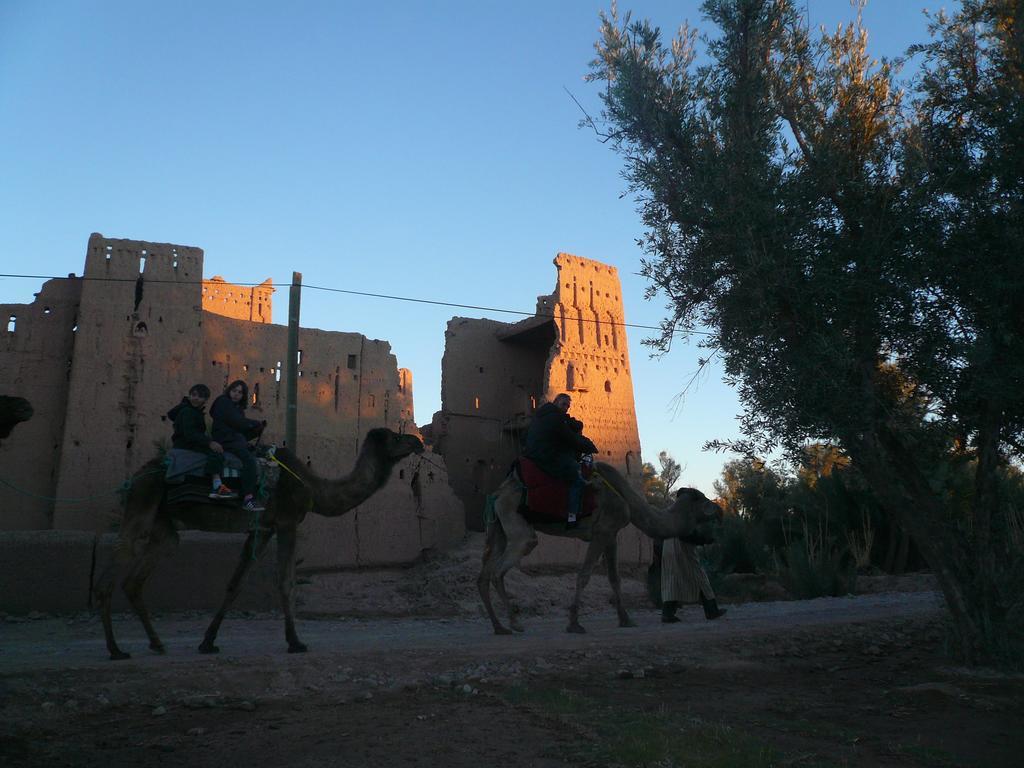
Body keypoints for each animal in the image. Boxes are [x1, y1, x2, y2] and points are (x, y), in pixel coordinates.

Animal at [92, 428, 419, 663]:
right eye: (395, 436)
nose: (417, 440)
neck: (313, 488)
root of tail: (136, 476)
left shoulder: (262, 528)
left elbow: (235, 582)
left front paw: (208, 641)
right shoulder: (287, 521)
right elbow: (286, 581)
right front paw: (295, 642)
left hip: (164, 525)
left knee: (136, 579)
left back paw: (157, 643)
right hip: (141, 505)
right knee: (111, 573)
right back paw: (115, 649)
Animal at [477, 462, 720, 638]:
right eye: (704, 501)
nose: (719, 509)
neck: (627, 500)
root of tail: (498, 494)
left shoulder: (611, 536)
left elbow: (614, 578)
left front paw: (626, 620)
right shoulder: (602, 532)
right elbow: (584, 575)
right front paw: (574, 624)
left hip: (497, 529)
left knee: (483, 576)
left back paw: (499, 627)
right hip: (517, 525)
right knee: (501, 569)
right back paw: (515, 623)